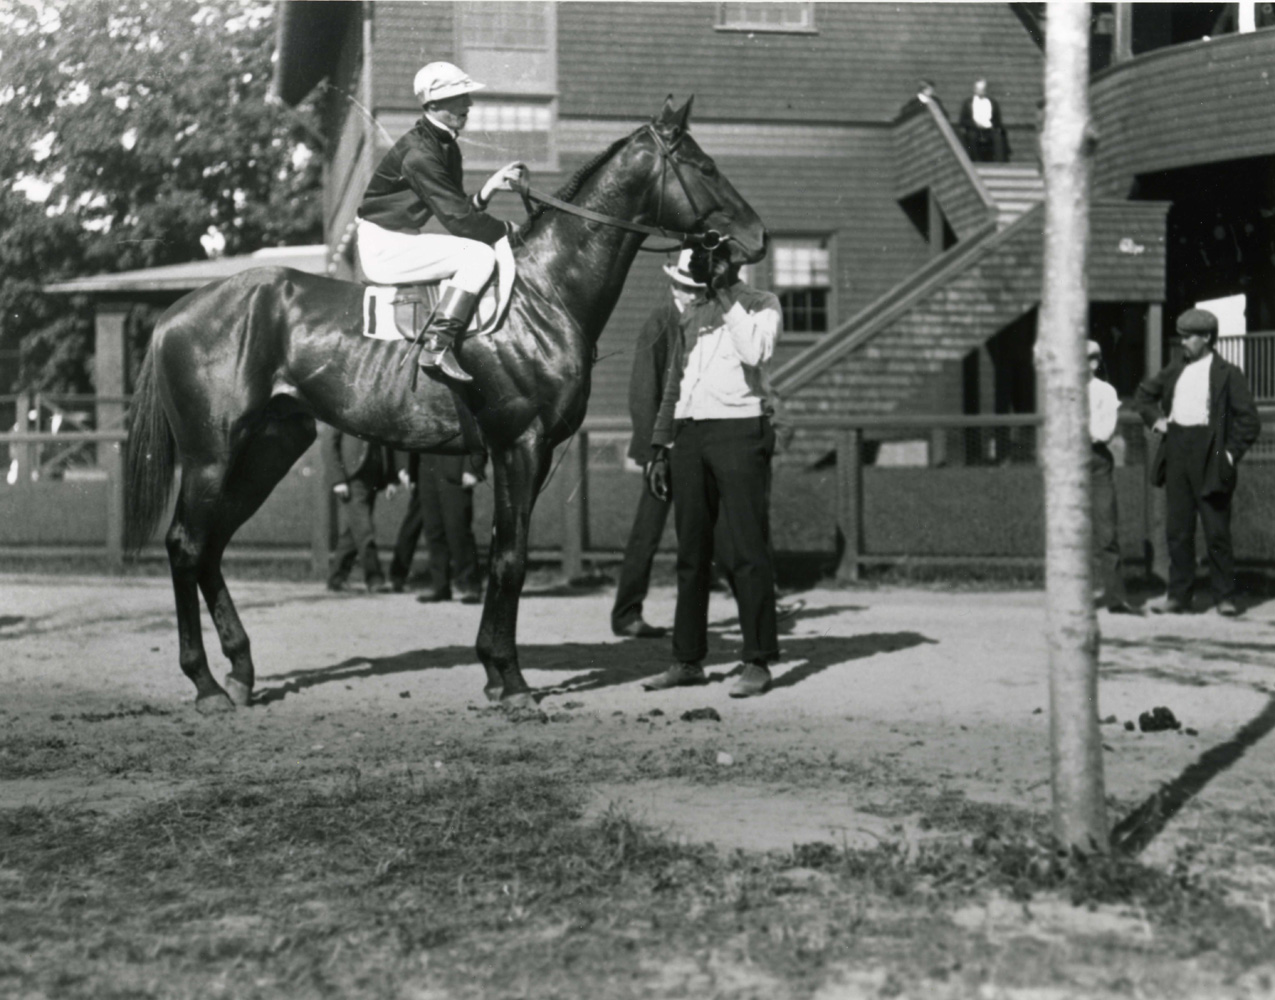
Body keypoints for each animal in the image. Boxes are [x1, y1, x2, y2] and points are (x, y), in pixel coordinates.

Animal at [124, 97, 765, 714]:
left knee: (212, 545)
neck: (546, 291)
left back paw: (240, 671)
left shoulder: (525, 453)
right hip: (211, 455)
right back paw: (205, 683)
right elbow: (510, 559)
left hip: (269, 449)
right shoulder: (521, 445)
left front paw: (494, 673)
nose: (757, 237)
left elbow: (504, 550)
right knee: (186, 544)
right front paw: (513, 682)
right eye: (705, 166)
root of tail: (178, 310)